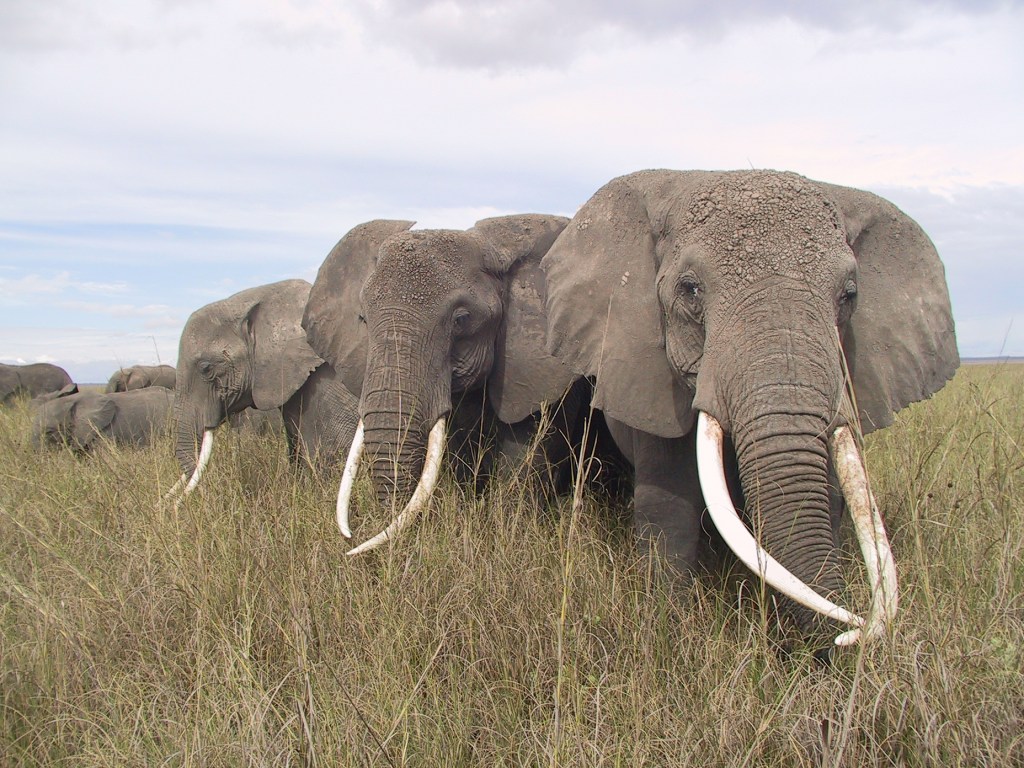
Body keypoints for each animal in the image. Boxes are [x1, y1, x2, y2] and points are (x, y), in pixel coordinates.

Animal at [303, 216, 596, 555]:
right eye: (363, 319)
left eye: (461, 320)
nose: (350, 543)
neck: (496, 248)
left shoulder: (542, 371)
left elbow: (527, 452)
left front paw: (511, 539)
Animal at [541, 169, 959, 650]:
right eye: (689, 289)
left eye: (849, 295)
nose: (848, 632)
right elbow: (668, 505)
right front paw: (670, 627)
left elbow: (831, 497)